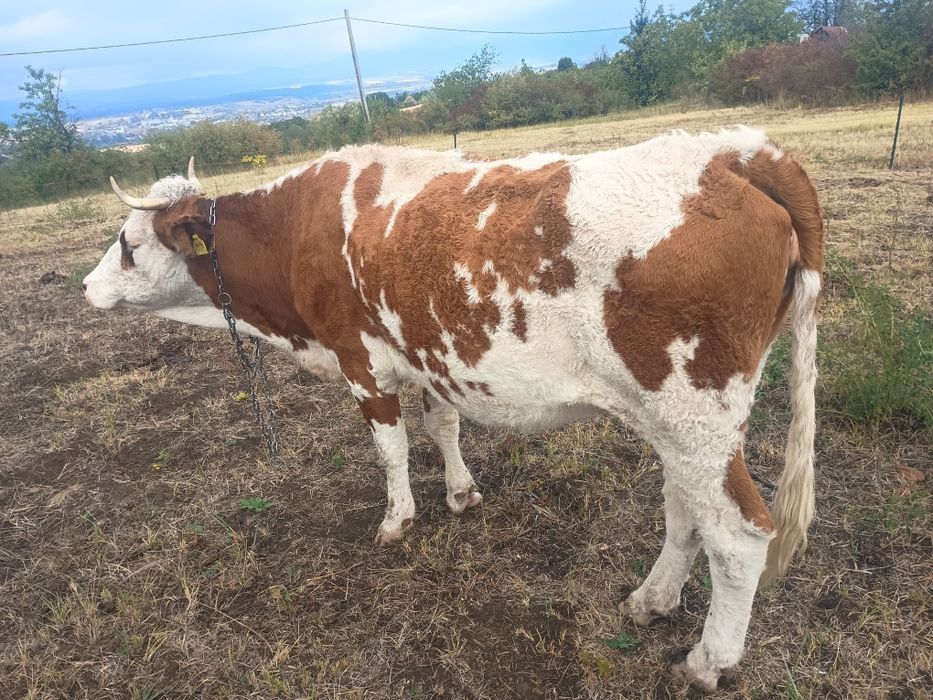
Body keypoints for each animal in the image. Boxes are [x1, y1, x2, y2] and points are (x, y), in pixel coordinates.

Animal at [83, 126, 823, 691]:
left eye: (128, 243)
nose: (86, 288)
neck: (294, 230)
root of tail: (735, 152)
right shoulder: (429, 356)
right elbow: (442, 424)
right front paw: (461, 493)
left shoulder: (361, 362)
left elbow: (389, 447)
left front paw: (398, 519)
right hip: (678, 423)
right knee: (684, 509)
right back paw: (651, 600)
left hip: (695, 412)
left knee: (738, 534)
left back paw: (708, 660)